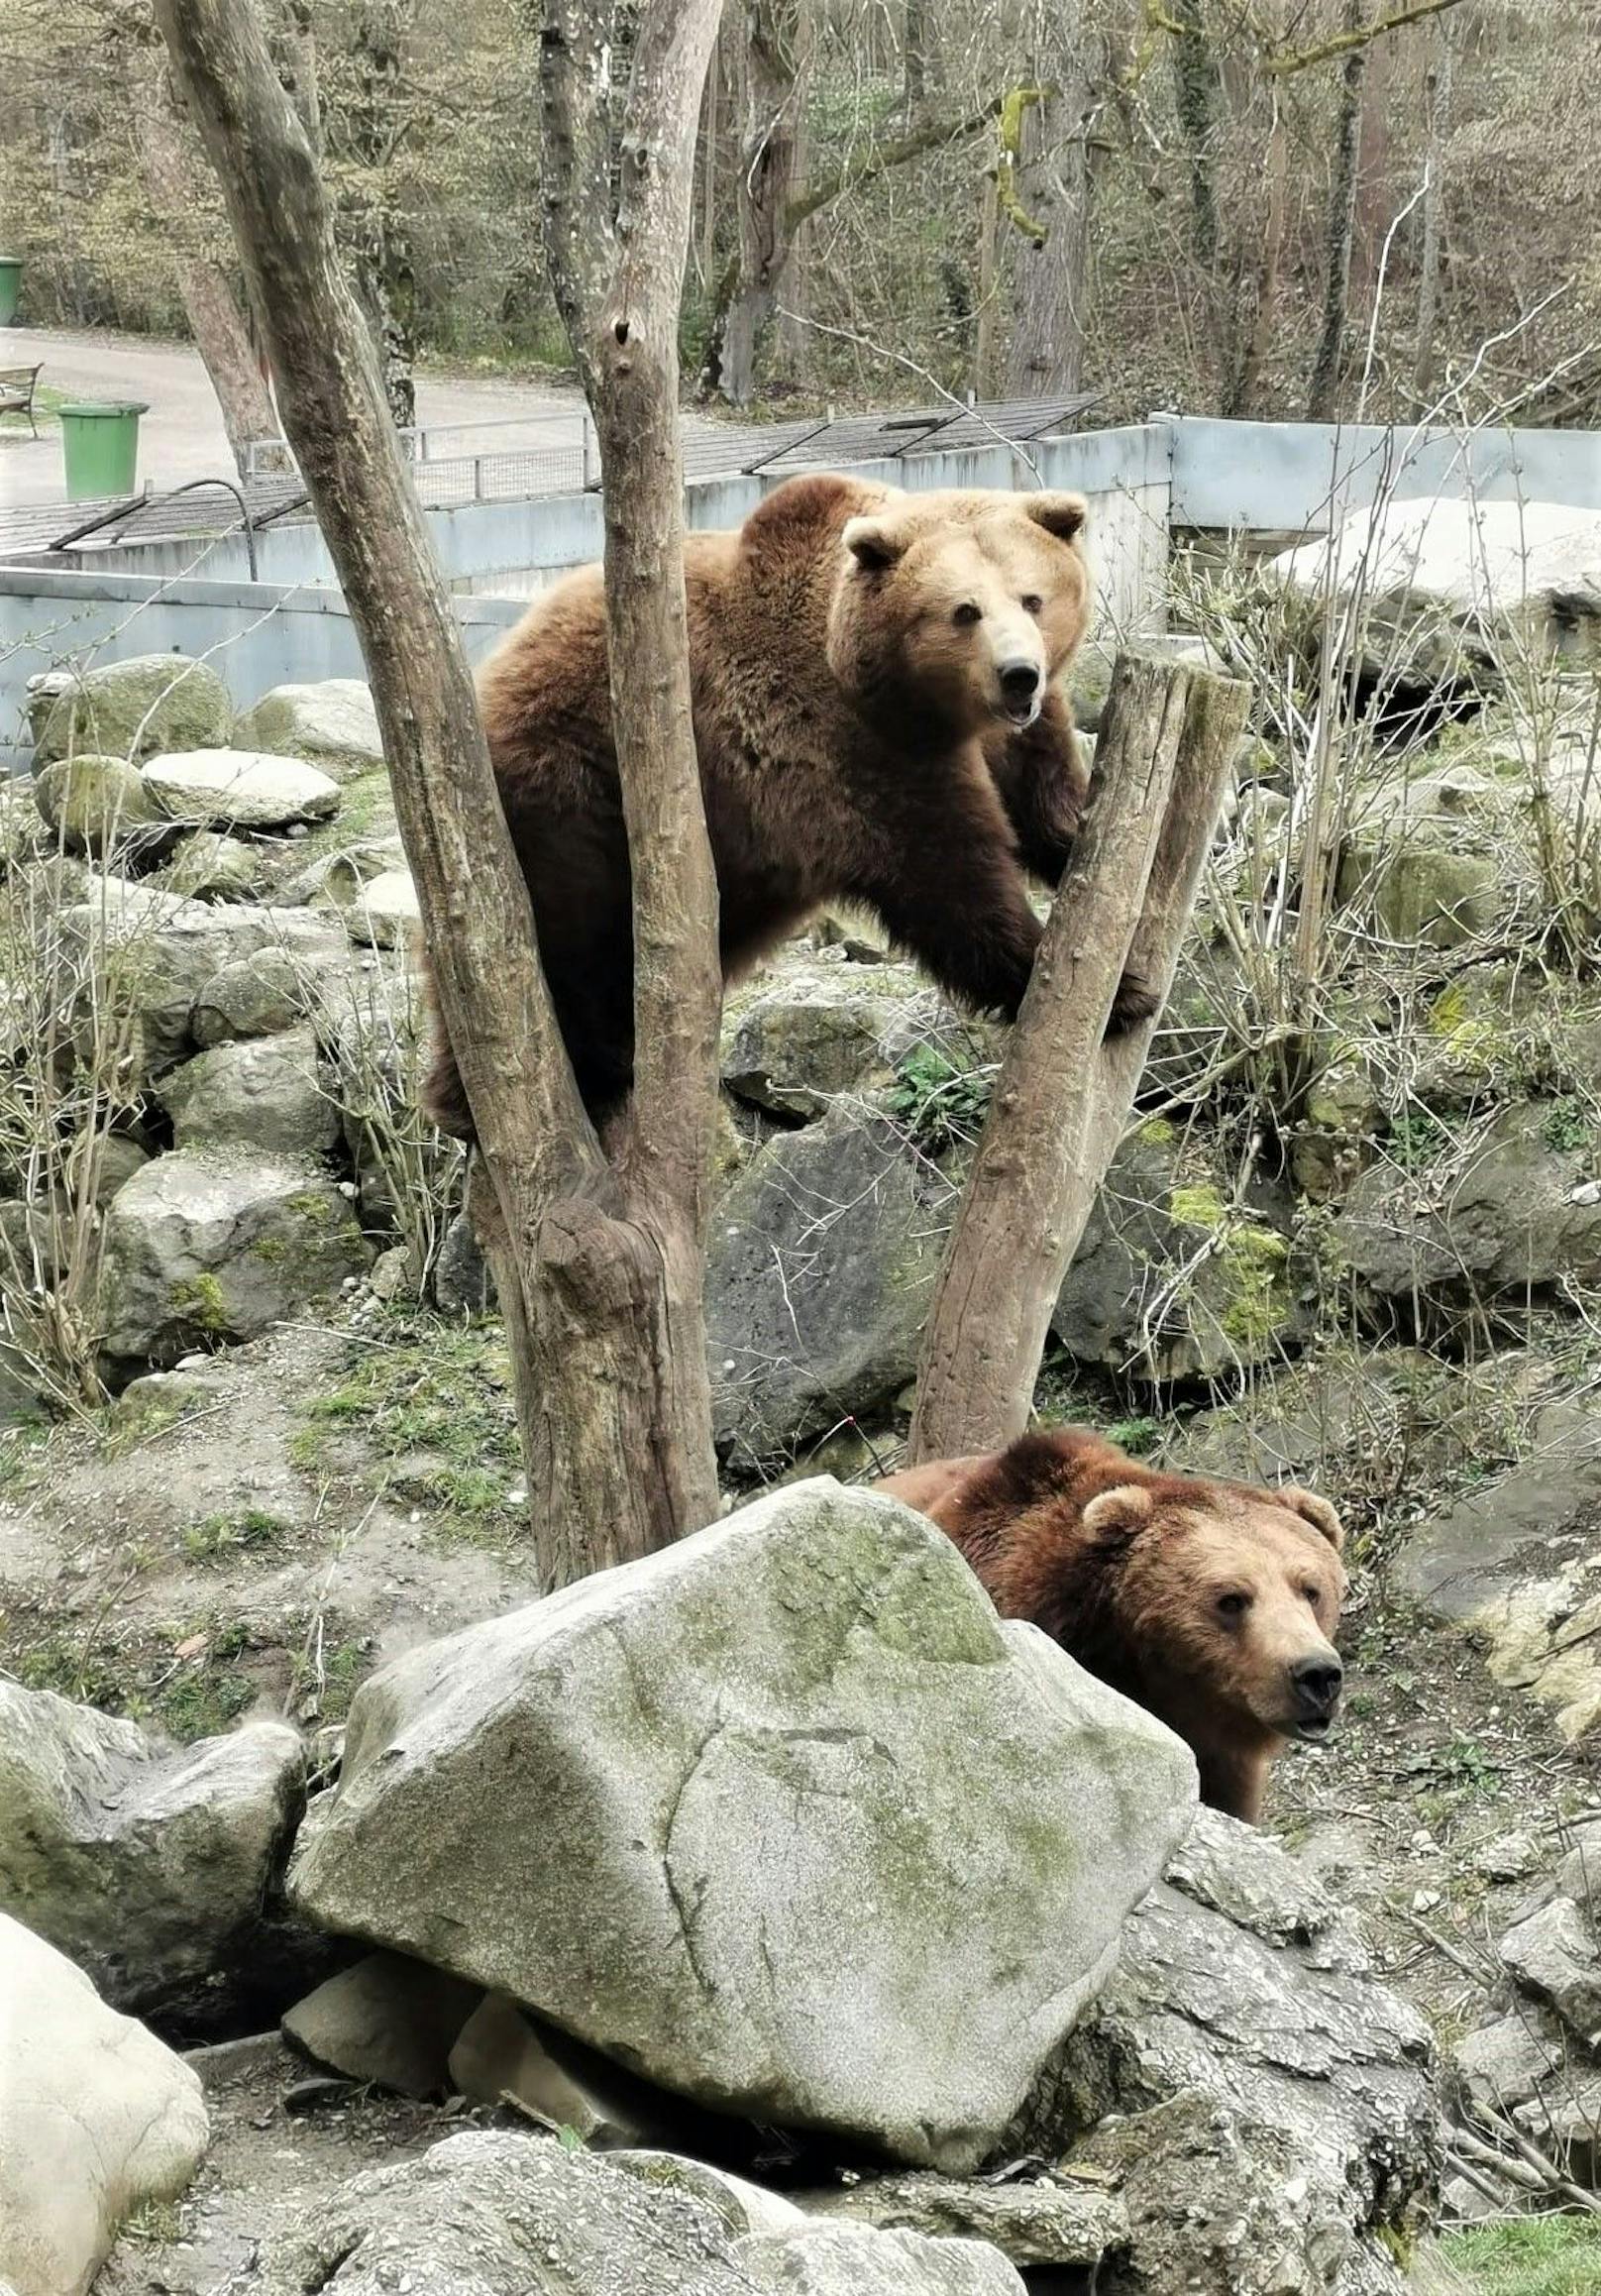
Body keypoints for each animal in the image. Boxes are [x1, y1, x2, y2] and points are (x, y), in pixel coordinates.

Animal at [424, 468, 1148, 1139]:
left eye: (1034, 597)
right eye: (963, 610)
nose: (1018, 673)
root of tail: (492, 667)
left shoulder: (1014, 736)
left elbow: (1047, 804)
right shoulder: (837, 744)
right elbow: (947, 874)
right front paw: (1114, 992)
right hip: (570, 784)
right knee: (566, 934)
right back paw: (536, 1087)